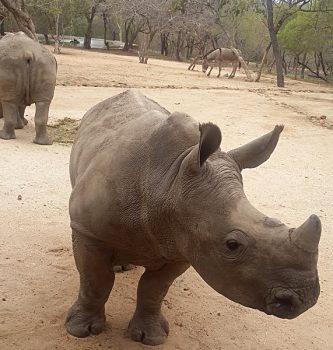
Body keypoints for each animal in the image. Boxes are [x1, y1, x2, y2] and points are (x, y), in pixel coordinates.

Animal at [66, 89, 320, 344]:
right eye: (232, 245)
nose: (304, 299)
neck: (170, 182)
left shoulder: (184, 245)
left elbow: (154, 288)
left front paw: (151, 337)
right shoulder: (87, 229)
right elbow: (96, 281)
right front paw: (81, 331)